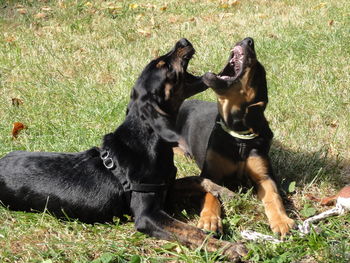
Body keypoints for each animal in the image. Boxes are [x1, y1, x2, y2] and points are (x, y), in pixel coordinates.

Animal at [0, 38, 246, 262]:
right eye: (163, 65)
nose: (183, 41)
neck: (151, 142)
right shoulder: (147, 215)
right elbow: (192, 231)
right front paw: (230, 248)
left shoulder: (164, 187)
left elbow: (196, 178)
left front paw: (225, 191)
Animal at [176, 38, 294, 238]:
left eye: (257, 70)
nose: (248, 40)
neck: (238, 137)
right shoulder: (211, 174)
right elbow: (211, 194)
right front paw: (209, 219)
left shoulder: (264, 176)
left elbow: (274, 196)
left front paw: (282, 221)